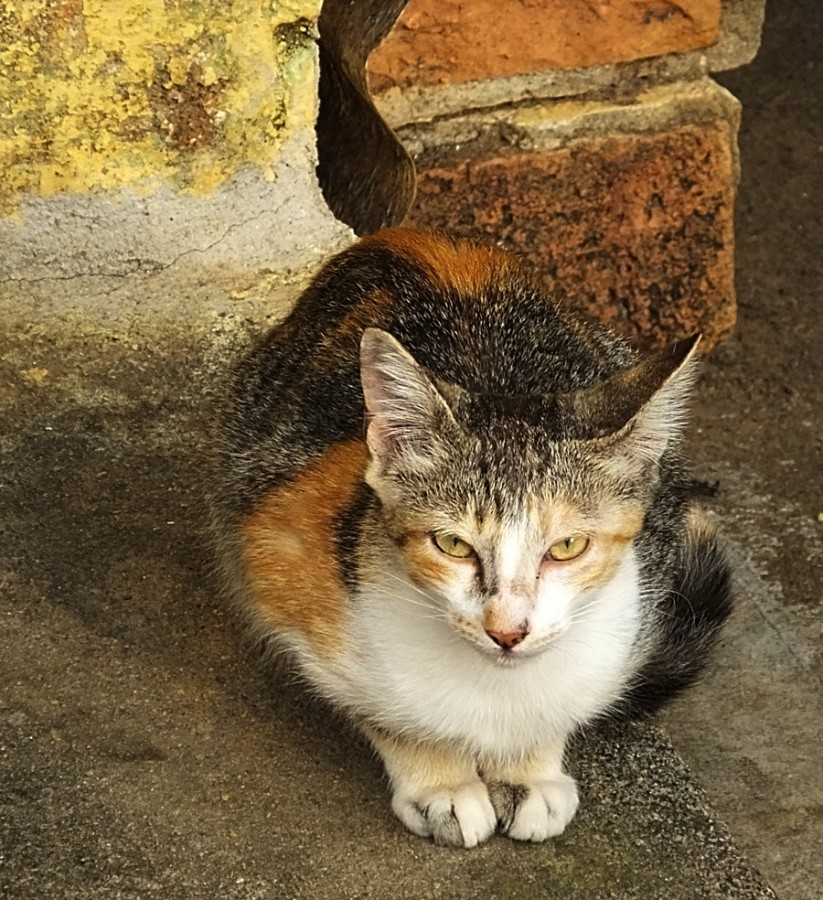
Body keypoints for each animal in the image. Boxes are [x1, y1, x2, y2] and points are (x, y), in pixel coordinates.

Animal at [212, 229, 732, 848]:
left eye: (566, 548)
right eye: (453, 546)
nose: (507, 630)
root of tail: (412, 237)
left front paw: (528, 769)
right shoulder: (280, 551)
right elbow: (383, 705)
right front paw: (441, 781)